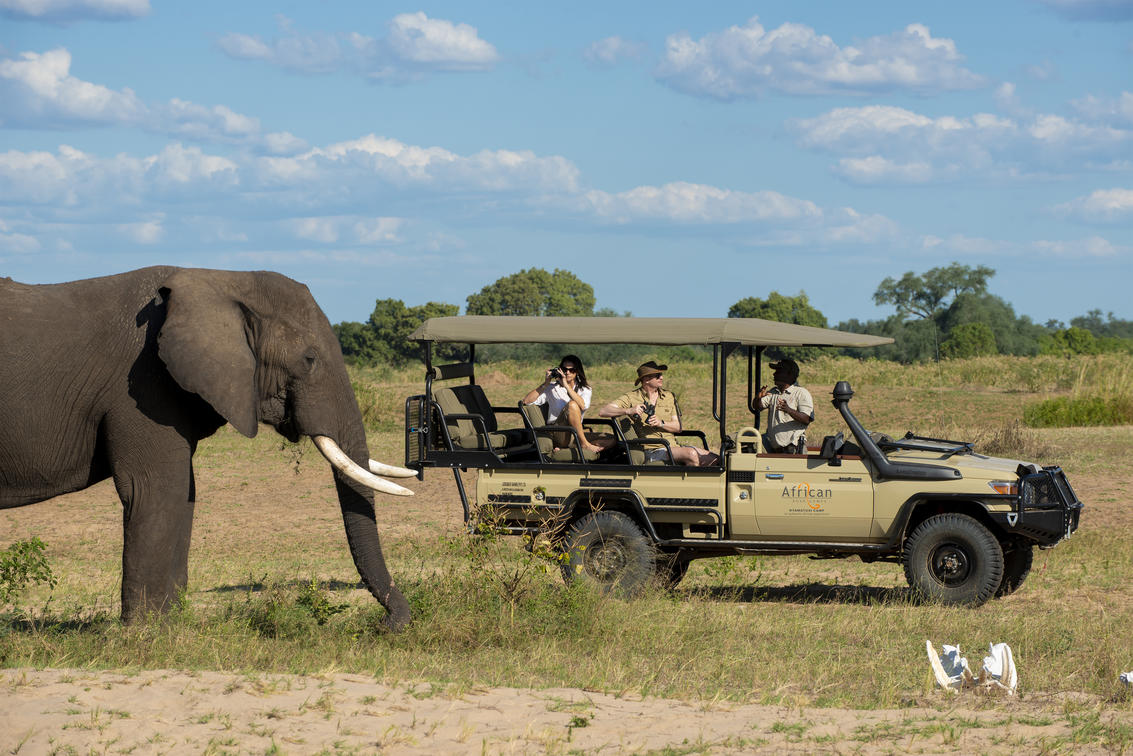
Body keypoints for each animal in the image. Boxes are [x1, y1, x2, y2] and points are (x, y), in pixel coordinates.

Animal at [0, 266, 416, 625]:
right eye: (310, 359)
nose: (387, 624)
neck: (221, 279)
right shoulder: (140, 387)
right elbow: (156, 489)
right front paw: (147, 635)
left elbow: (185, 493)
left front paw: (171, 625)